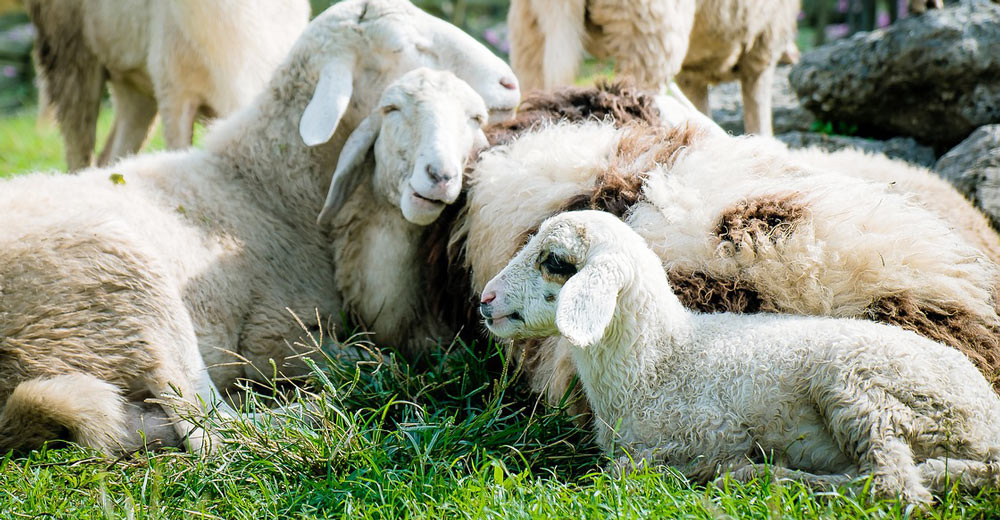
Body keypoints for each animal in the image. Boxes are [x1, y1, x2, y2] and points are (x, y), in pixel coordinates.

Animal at [481, 209, 1000, 504]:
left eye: (554, 260)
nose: (485, 299)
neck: (660, 362)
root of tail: (987, 416)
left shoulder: (710, 431)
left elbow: (631, 469)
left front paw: (726, 470)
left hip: (863, 386)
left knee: (893, 486)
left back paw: (766, 478)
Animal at [506, 0, 799, 135]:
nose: (793, 56)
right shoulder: (763, 49)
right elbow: (759, 118)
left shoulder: (692, 76)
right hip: (650, 34)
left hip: (530, 34)